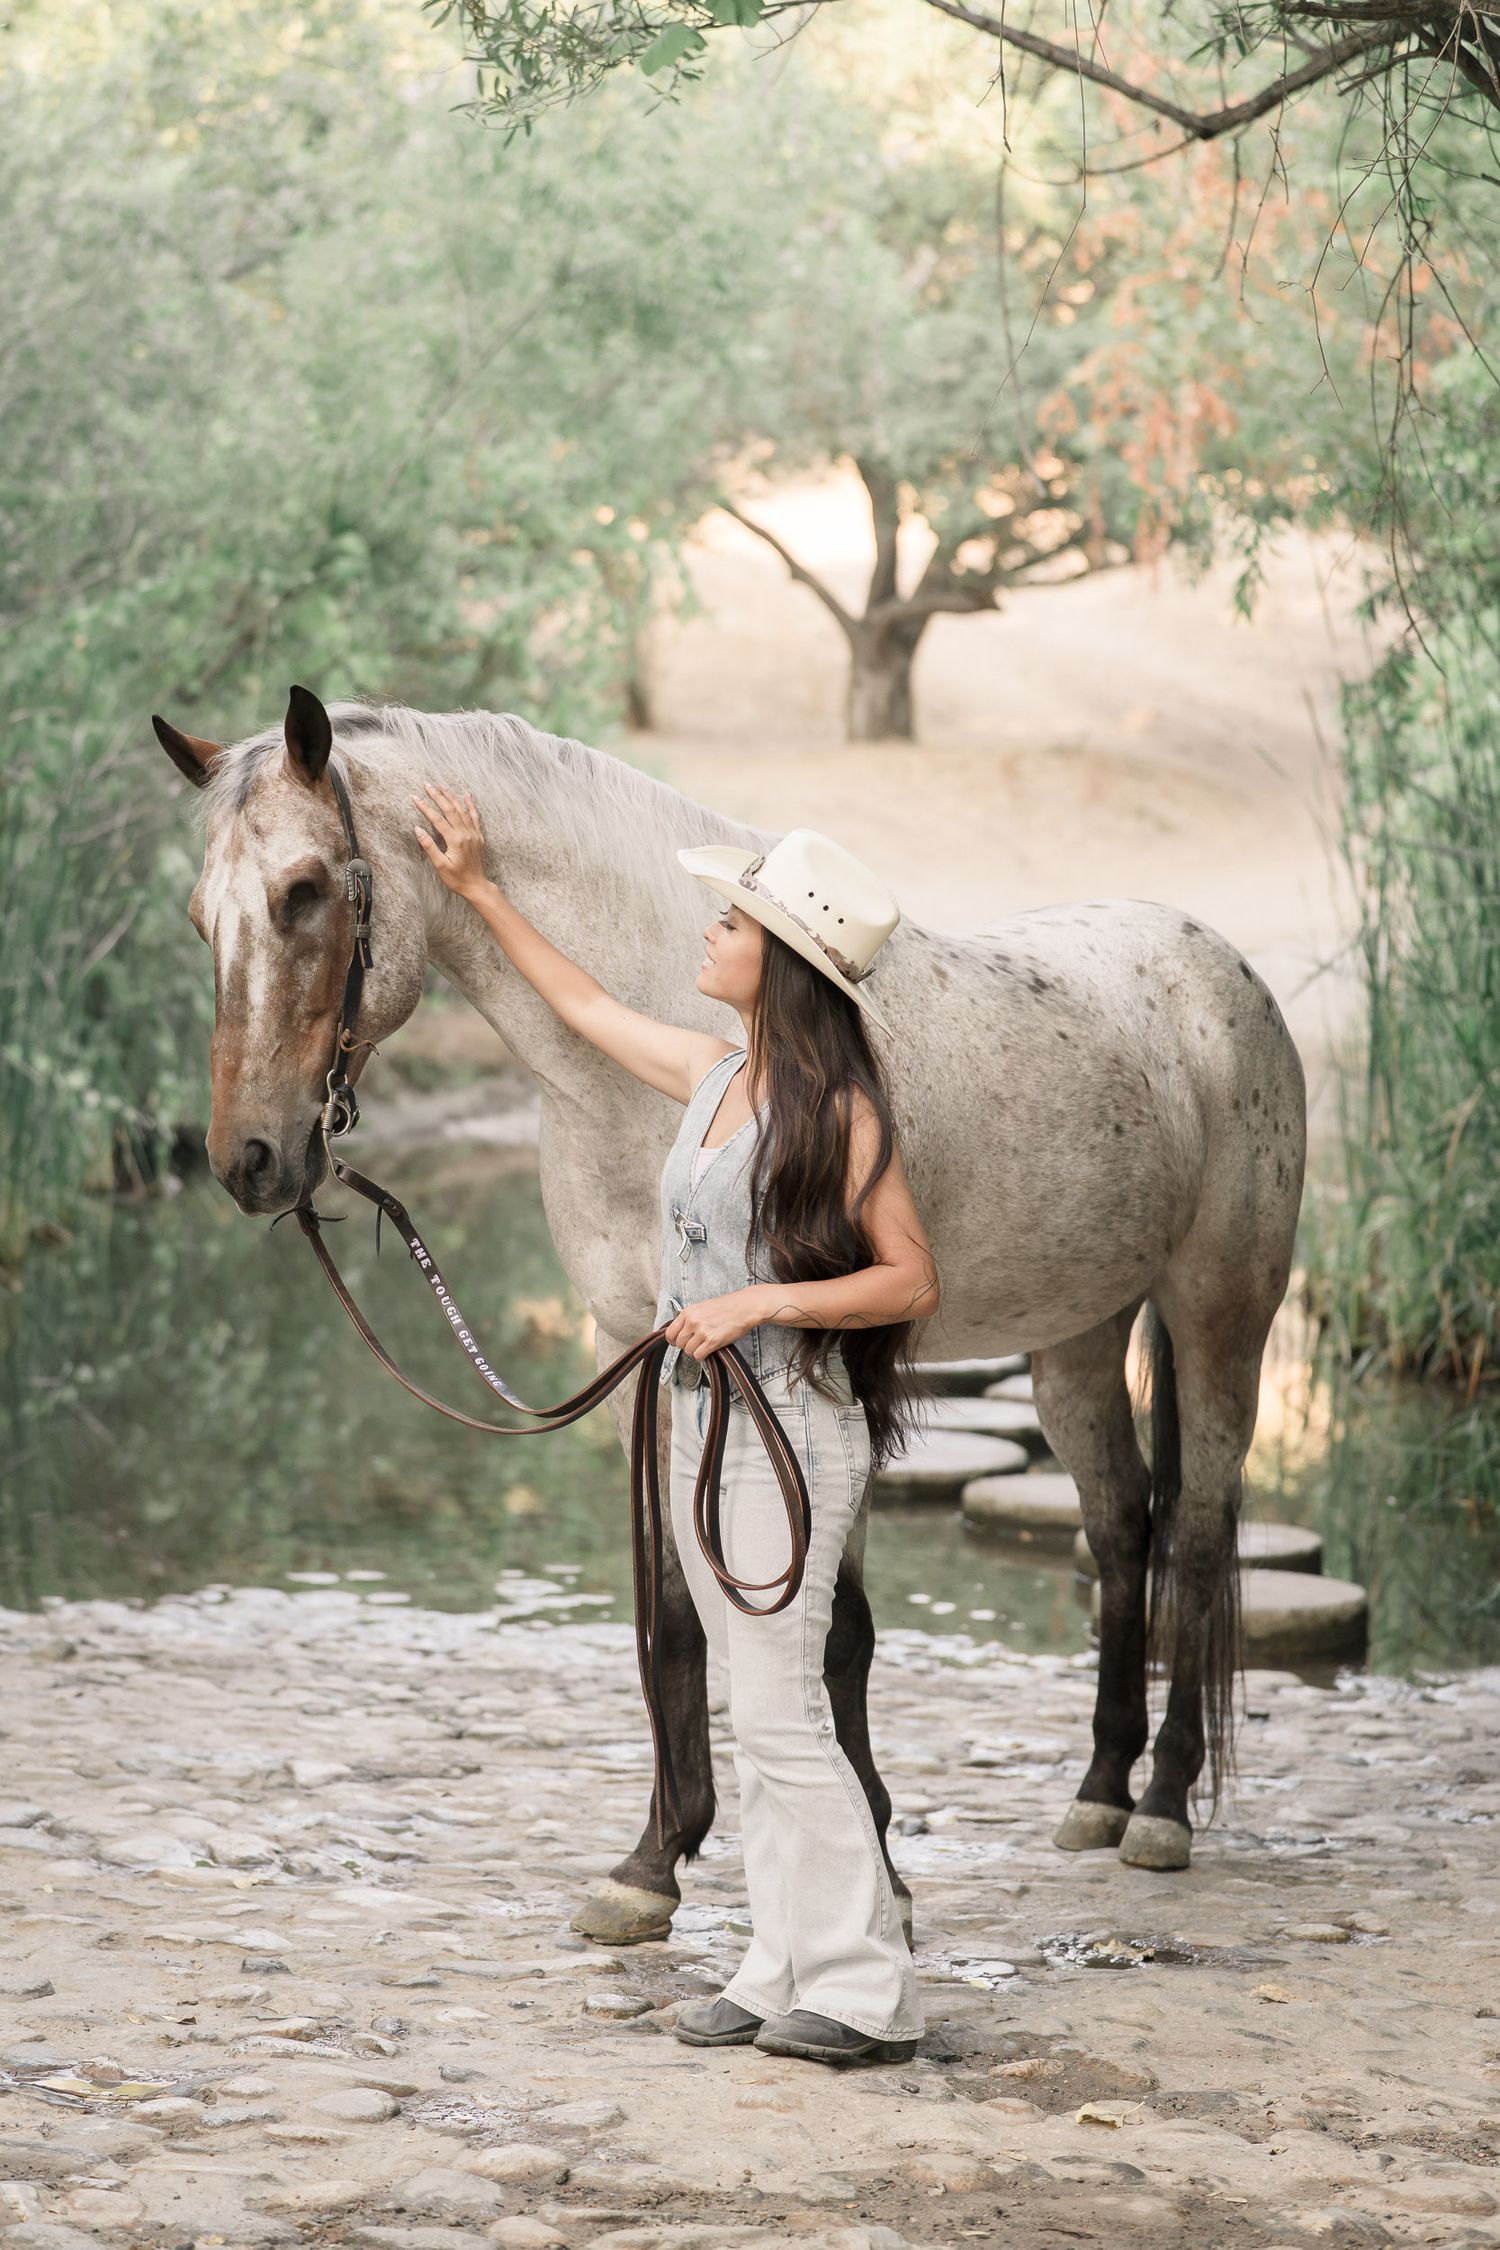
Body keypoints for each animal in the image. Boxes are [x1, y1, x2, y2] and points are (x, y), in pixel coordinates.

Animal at [153, 683, 1307, 1940]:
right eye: (203, 918)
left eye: (306, 891)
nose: (250, 1160)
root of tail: (1216, 966)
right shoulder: (637, 1353)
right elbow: (676, 1612)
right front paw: (654, 1863)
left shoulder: (826, 1362)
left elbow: (835, 1632)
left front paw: (877, 1872)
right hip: (1079, 1337)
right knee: (1120, 1525)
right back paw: (1099, 1791)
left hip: (1217, 1319)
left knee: (1196, 1532)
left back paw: (1163, 1808)